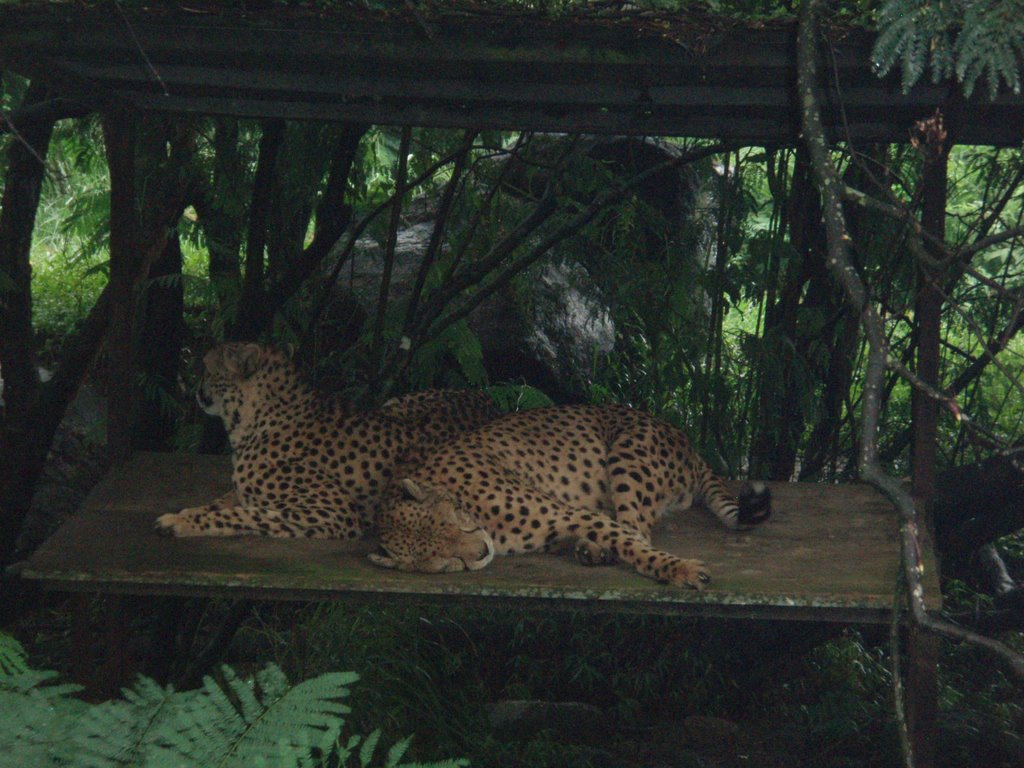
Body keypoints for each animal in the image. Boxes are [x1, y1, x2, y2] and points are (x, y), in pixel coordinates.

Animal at [152, 346, 499, 536]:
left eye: (208, 370)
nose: (195, 391)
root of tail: (483, 396)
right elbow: (226, 500)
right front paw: (188, 513)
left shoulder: (334, 512)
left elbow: (246, 514)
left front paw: (182, 523)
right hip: (394, 404)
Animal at [372, 405, 770, 593]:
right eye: (446, 561)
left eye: (453, 520)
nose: (482, 553)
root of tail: (687, 441)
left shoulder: (574, 514)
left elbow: (633, 546)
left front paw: (680, 570)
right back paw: (588, 550)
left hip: (628, 454)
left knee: (637, 527)